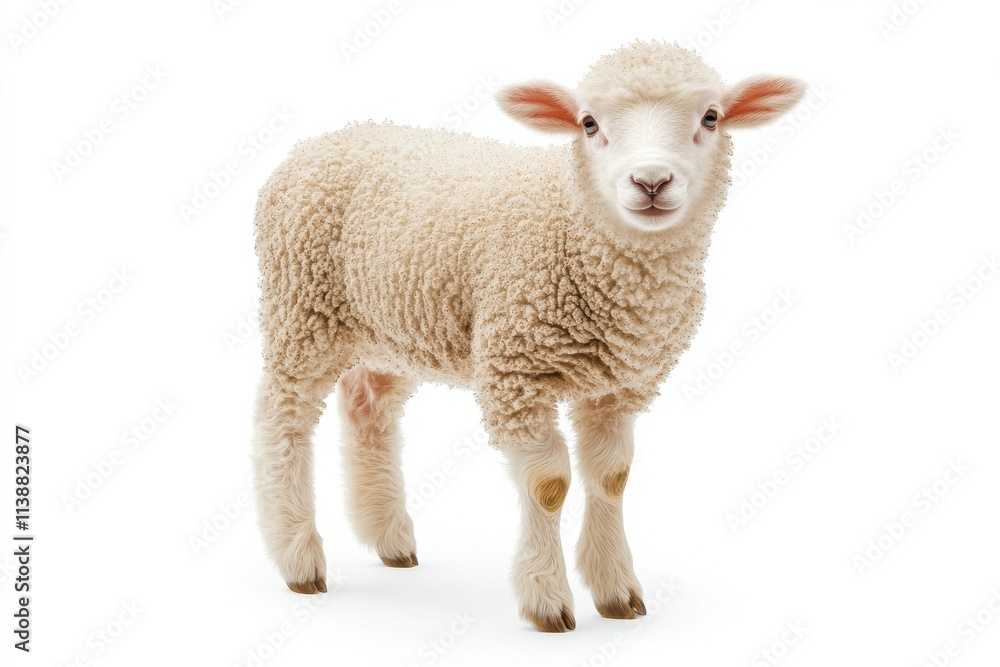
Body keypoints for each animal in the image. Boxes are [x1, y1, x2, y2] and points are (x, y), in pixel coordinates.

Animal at [251, 40, 805, 632]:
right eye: (589, 123)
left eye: (711, 117)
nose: (651, 182)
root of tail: (322, 142)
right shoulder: (513, 370)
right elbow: (548, 484)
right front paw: (547, 598)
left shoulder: (619, 385)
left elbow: (612, 476)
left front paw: (616, 590)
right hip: (301, 309)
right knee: (282, 420)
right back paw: (298, 558)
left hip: (390, 325)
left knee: (368, 406)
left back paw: (390, 538)